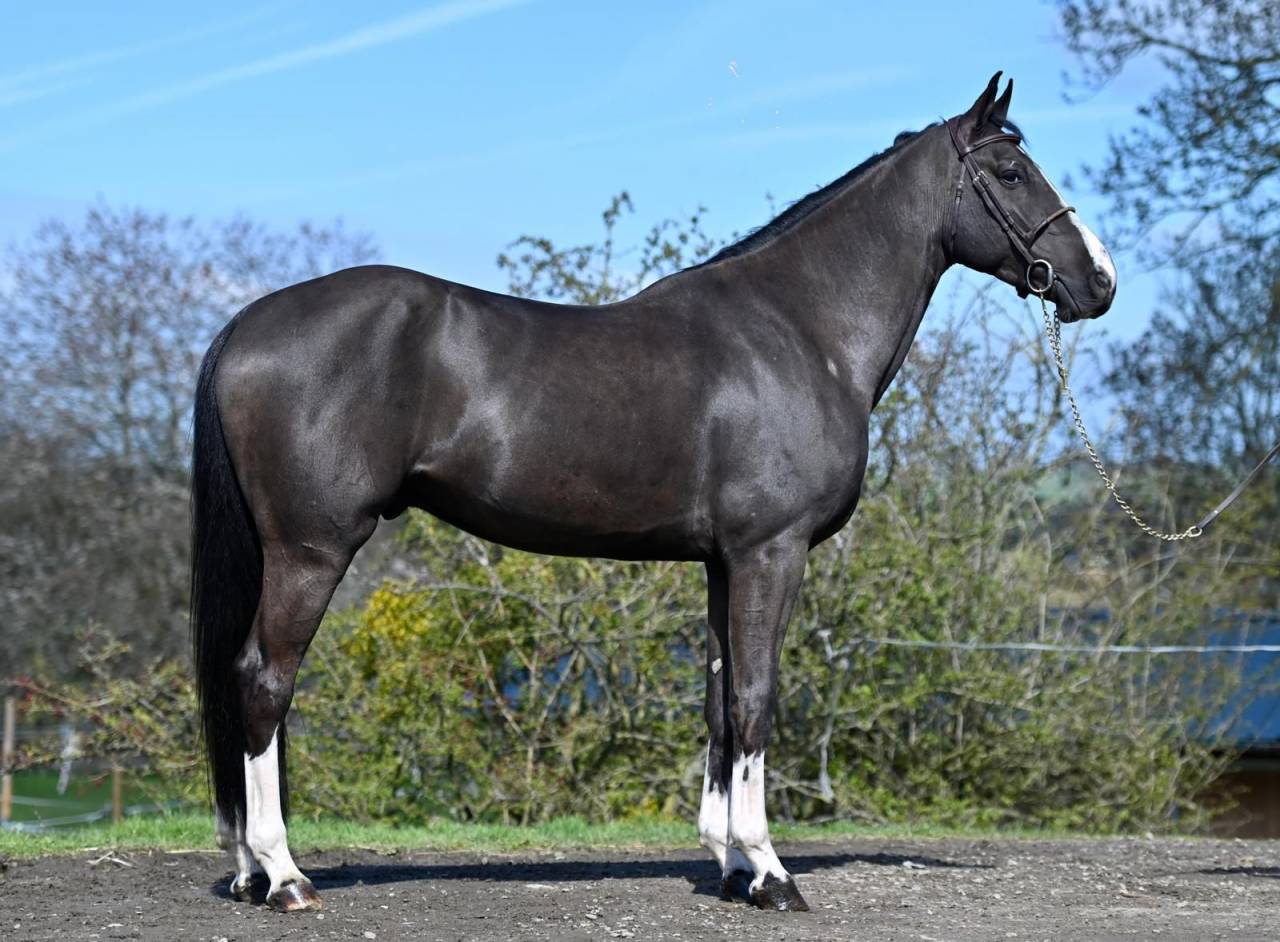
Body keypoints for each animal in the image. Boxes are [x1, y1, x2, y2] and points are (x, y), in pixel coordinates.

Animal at [191, 72, 1116, 914]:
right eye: (1010, 173)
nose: (1099, 282)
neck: (799, 329)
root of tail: (245, 324)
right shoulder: (771, 553)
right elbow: (756, 696)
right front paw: (771, 871)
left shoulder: (722, 562)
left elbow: (718, 700)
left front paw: (731, 865)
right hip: (312, 549)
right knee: (265, 681)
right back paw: (283, 876)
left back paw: (248, 873)